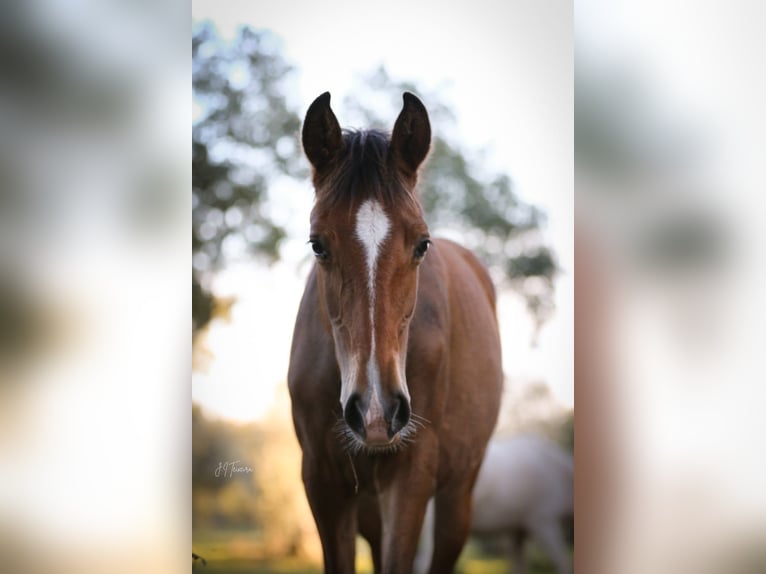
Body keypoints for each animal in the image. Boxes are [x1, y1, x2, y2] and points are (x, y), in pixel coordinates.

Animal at [288, 92, 504, 572]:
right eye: (317, 244)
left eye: (422, 244)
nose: (375, 411)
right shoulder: (322, 482)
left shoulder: (410, 476)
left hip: (458, 493)